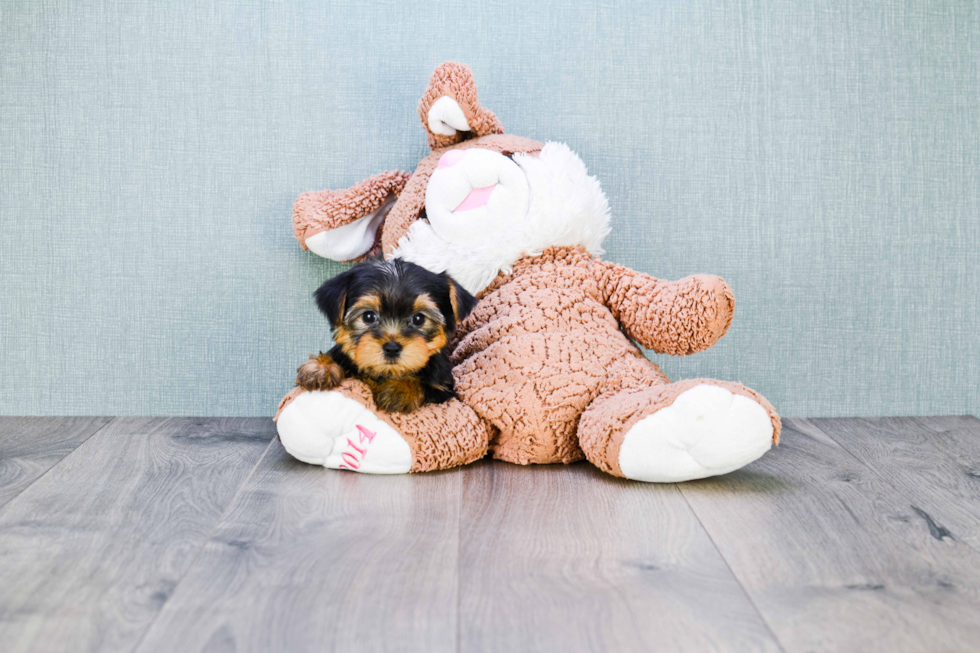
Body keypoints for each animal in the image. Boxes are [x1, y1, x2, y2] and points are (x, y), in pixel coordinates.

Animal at [300, 258, 480, 410]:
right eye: (368, 316)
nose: (392, 348)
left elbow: (426, 386)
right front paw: (321, 368)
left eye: (419, 319)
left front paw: (400, 389)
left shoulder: (444, 391)